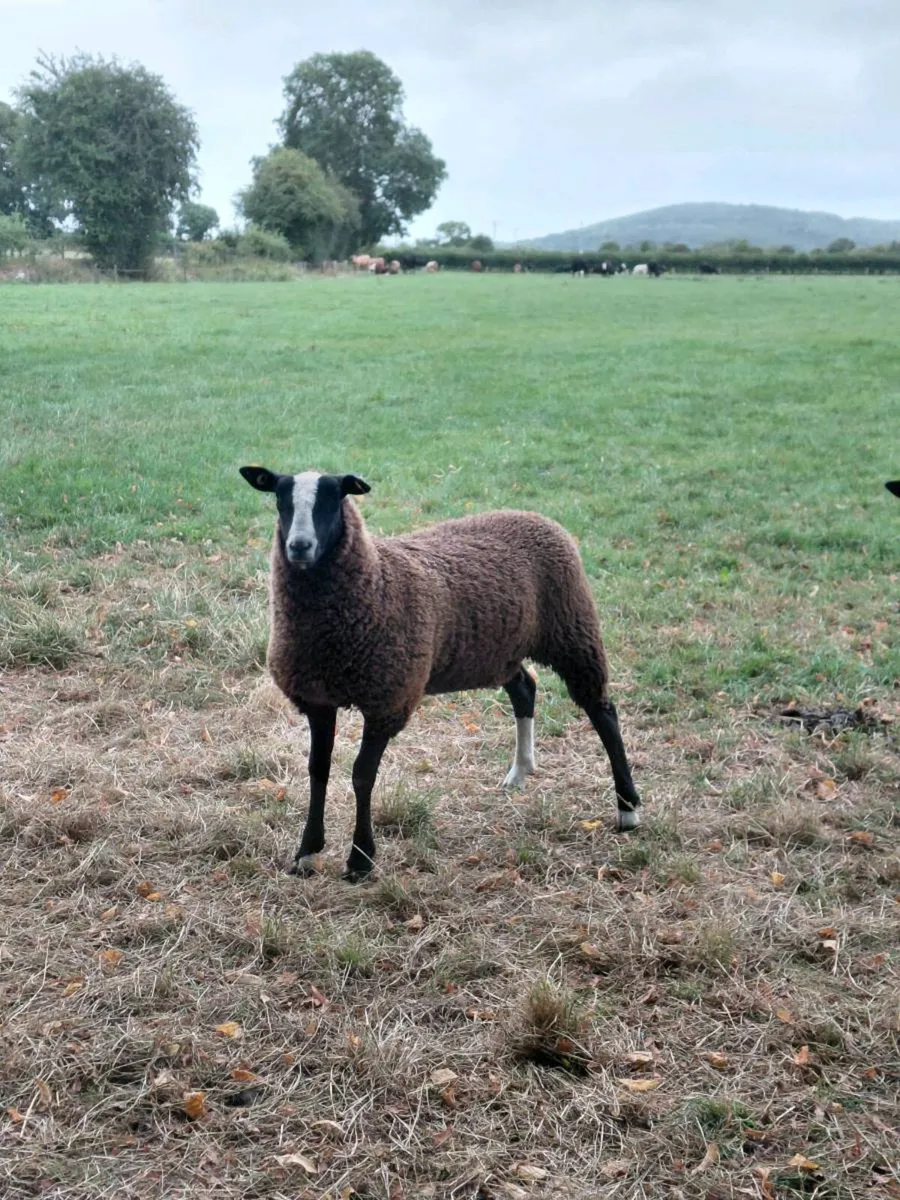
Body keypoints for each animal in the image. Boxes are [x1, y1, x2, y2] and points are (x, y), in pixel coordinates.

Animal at [239, 467, 643, 882]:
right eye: (279, 498)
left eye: (333, 498)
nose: (299, 546)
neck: (375, 580)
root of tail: (535, 516)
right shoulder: (317, 699)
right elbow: (317, 770)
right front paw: (307, 852)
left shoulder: (389, 700)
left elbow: (361, 775)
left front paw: (361, 859)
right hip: (501, 650)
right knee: (525, 690)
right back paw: (519, 773)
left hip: (572, 633)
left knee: (603, 712)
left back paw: (627, 809)